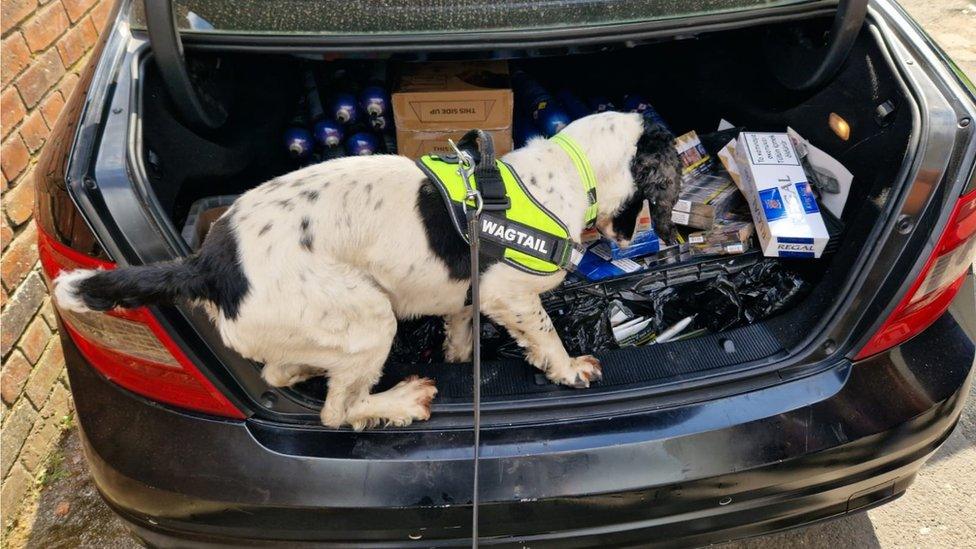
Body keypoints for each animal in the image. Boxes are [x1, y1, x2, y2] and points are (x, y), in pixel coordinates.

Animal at [53, 111, 680, 428]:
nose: (646, 237)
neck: (567, 171)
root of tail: (211, 260)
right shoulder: (514, 298)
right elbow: (546, 338)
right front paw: (571, 368)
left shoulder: (467, 297)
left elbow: (460, 330)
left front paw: (461, 357)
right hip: (368, 314)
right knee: (338, 413)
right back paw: (400, 402)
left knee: (283, 371)